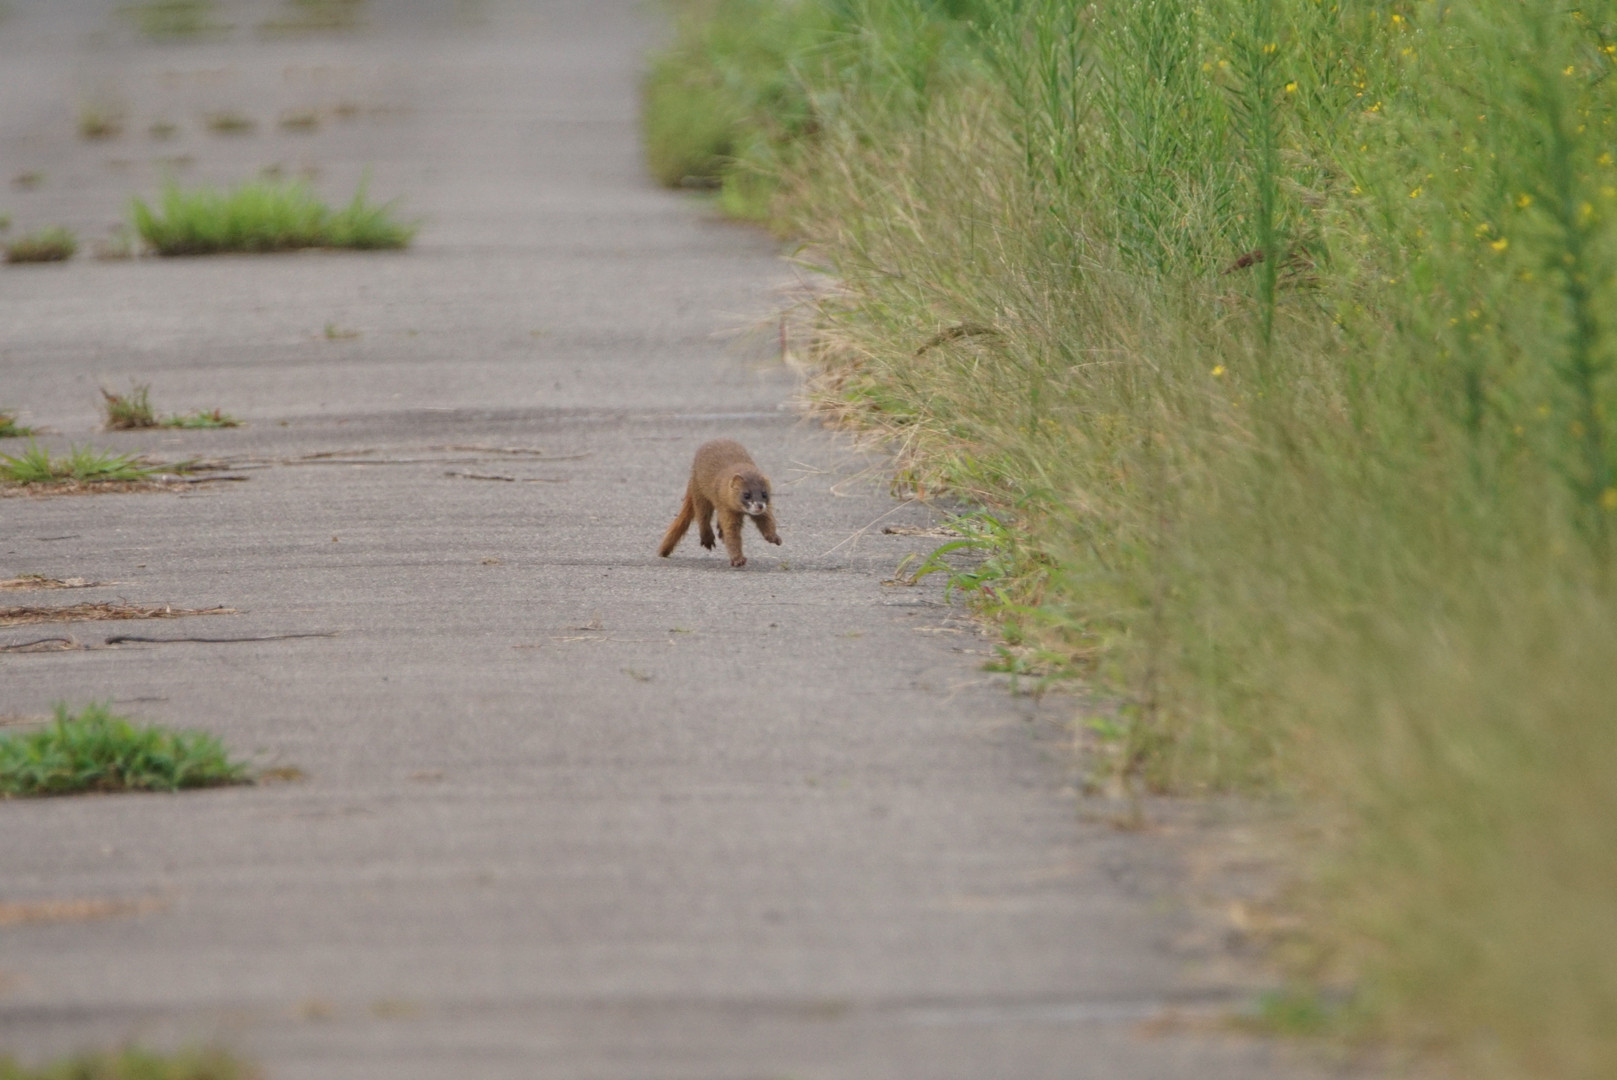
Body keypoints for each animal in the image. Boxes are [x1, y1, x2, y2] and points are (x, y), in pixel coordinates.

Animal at [658, 438, 782, 567]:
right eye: (746, 495)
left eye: (764, 494)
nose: (759, 505)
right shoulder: (726, 508)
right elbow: (731, 534)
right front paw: (738, 559)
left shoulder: (765, 510)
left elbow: (767, 520)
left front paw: (774, 537)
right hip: (700, 491)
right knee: (702, 516)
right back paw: (707, 538)